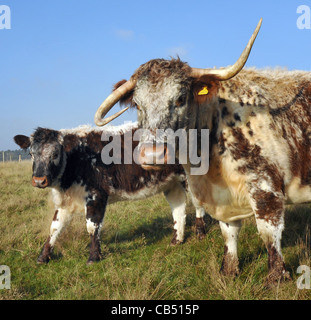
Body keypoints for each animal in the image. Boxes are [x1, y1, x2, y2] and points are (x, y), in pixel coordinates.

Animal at [14, 122, 206, 262]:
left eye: (55, 153)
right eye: (31, 153)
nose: (39, 180)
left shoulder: (96, 195)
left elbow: (92, 226)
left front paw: (93, 257)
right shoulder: (66, 202)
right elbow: (54, 227)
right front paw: (43, 256)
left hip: (193, 175)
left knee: (199, 203)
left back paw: (200, 232)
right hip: (172, 183)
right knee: (179, 209)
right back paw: (176, 240)